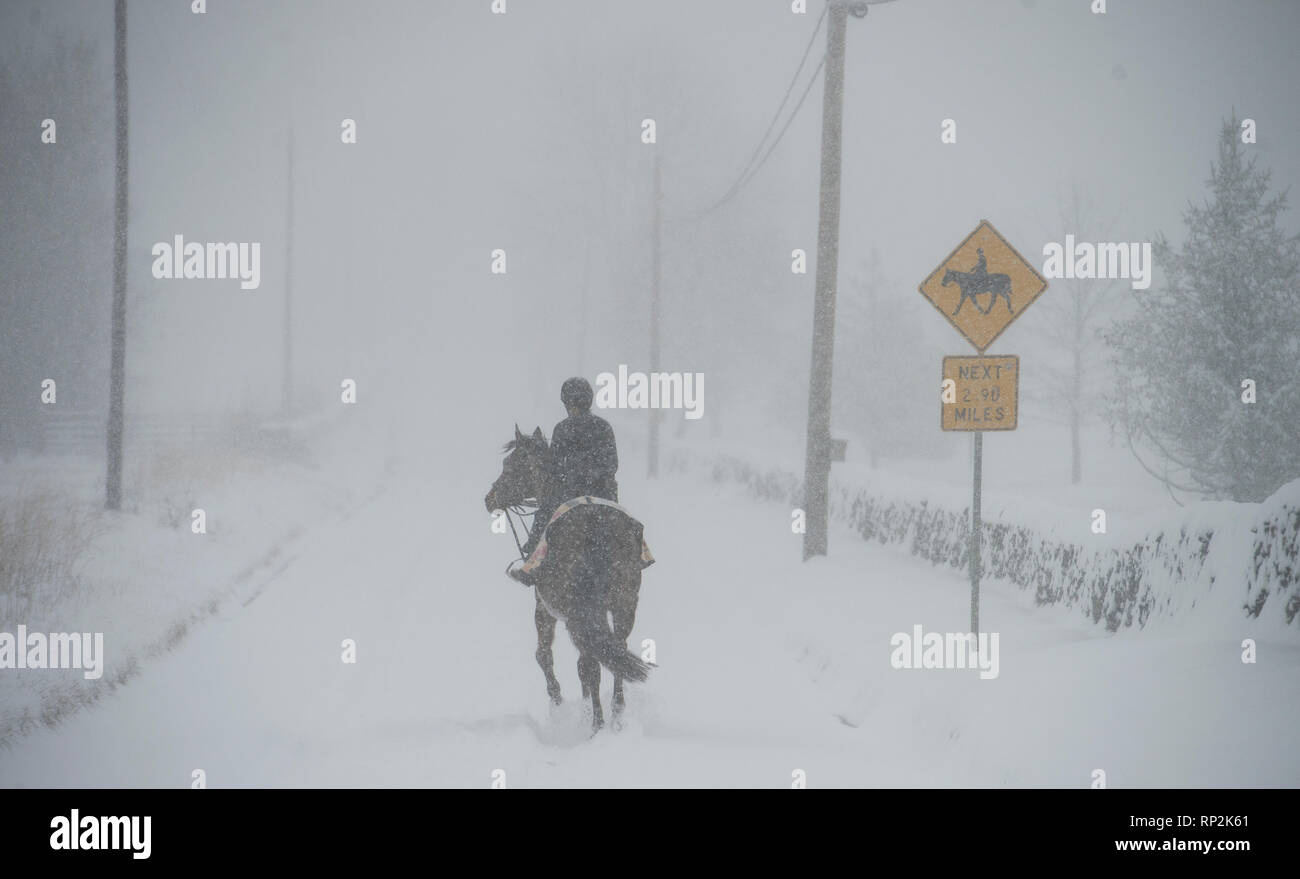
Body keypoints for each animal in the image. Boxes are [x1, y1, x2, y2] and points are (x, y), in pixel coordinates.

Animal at [486, 421, 650, 733]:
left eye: (510, 464)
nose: (489, 499)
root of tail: (596, 528)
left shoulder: (544, 607)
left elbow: (543, 655)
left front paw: (559, 705)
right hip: (623, 604)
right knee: (615, 654)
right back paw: (615, 716)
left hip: (579, 612)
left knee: (592, 663)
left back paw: (596, 723)